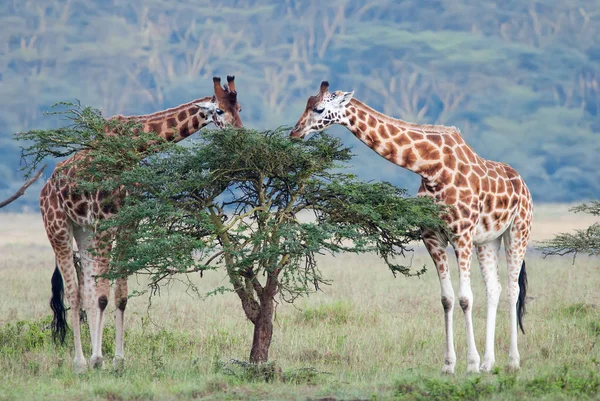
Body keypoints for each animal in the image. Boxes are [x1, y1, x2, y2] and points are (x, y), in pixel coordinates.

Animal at [39, 76, 243, 372]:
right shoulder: (106, 220)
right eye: (219, 111)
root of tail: (45, 188)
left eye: (239, 108)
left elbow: (120, 295)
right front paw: (99, 359)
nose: (241, 135)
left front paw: (118, 360)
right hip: (58, 228)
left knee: (86, 291)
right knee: (75, 293)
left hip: (84, 230)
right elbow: (102, 295)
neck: (134, 146)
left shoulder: (129, 223)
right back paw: (80, 362)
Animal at [288, 79, 532, 374]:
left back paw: (512, 362)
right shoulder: (432, 237)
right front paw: (449, 365)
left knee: (512, 289)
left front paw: (470, 364)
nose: (294, 132)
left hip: (518, 230)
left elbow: (465, 297)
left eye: (319, 108)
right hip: (488, 240)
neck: (432, 169)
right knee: (493, 289)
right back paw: (489, 363)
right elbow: (447, 299)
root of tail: (523, 184)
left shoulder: (461, 234)